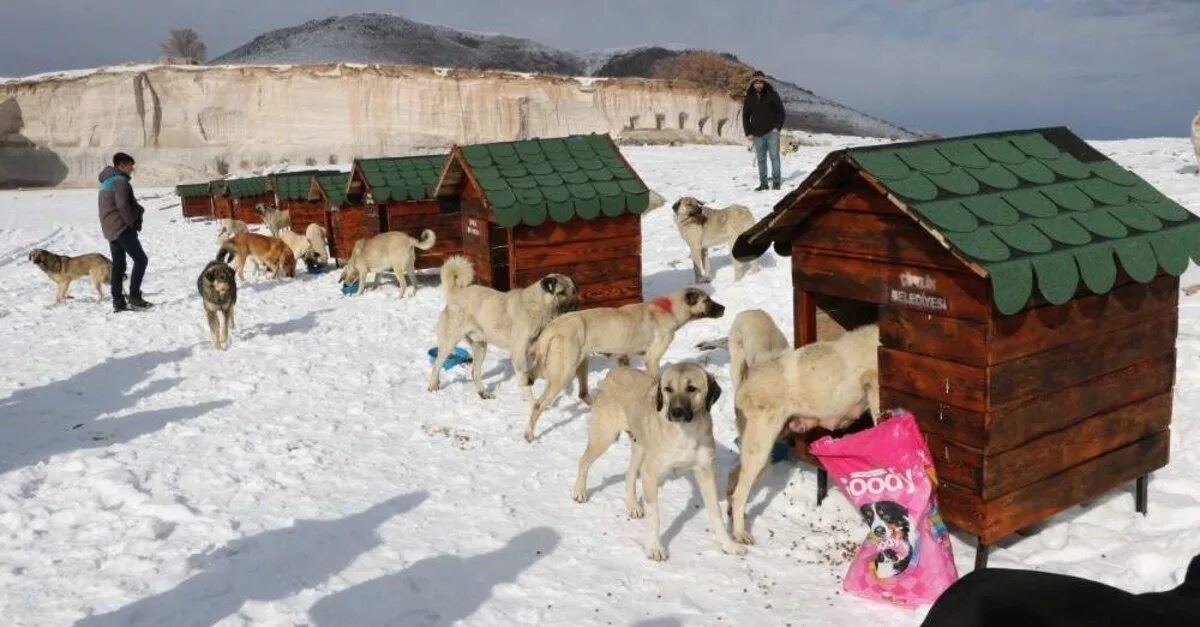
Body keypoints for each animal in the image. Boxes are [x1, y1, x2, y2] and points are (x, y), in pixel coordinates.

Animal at [429, 254, 578, 398]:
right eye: (561, 293)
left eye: (573, 291)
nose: (576, 306)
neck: (538, 307)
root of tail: (455, 293)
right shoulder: (519, 356)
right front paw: (531, 401)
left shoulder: (532, 354)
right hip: (449, 343)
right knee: (437, 365)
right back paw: (433, 385)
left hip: (480, 347)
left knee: (475, 372)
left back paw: (483, 393)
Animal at [568, 362, 739, 559]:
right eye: (668, 389)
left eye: (691, 388)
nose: (676, 412)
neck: (685, 432)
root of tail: (615, 372)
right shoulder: (650, 474)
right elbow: (654, 516)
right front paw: (654, 548)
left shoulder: (706, 473)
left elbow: (716, 513)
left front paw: (728, 545)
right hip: (604, 437)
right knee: (583, 461)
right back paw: (579, 492)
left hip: (640, 448)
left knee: (629, 474)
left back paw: (633, 505)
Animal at [720, 321, 883, 540]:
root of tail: (743, 387)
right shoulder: (872, 385)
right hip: (759, 452)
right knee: (739, 494)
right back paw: (739, 534)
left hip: (760, 455)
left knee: (733, 478)